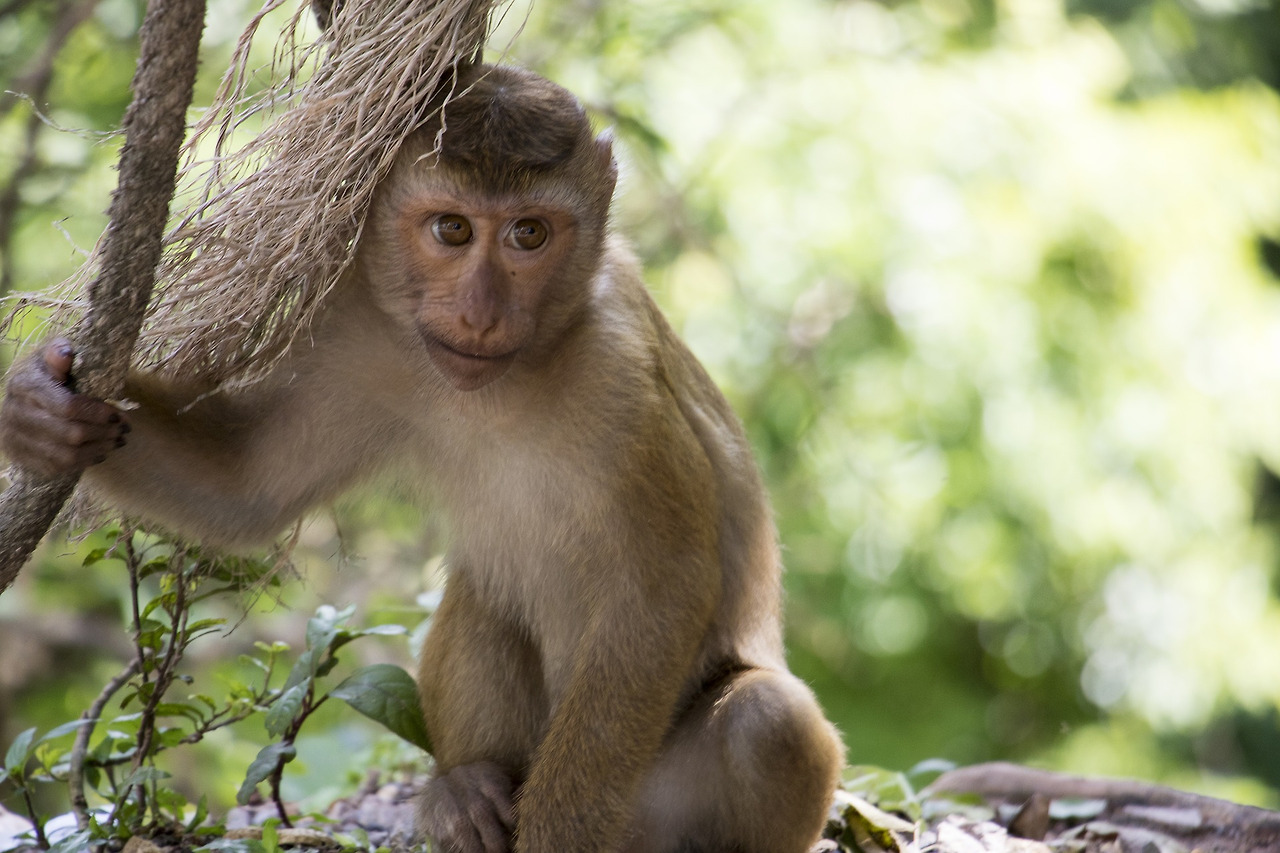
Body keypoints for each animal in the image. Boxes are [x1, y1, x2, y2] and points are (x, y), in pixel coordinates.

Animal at [0, 64, 844, 853]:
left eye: (529, 234)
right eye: (452, 229)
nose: (480, 312)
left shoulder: (621, 378)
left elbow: (660, 590)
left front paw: (557, 832)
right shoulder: (359, 332)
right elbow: (245, 488)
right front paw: (41, 410)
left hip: (644, 805)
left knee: (766, 720)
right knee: (485, 590)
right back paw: (464, 789)